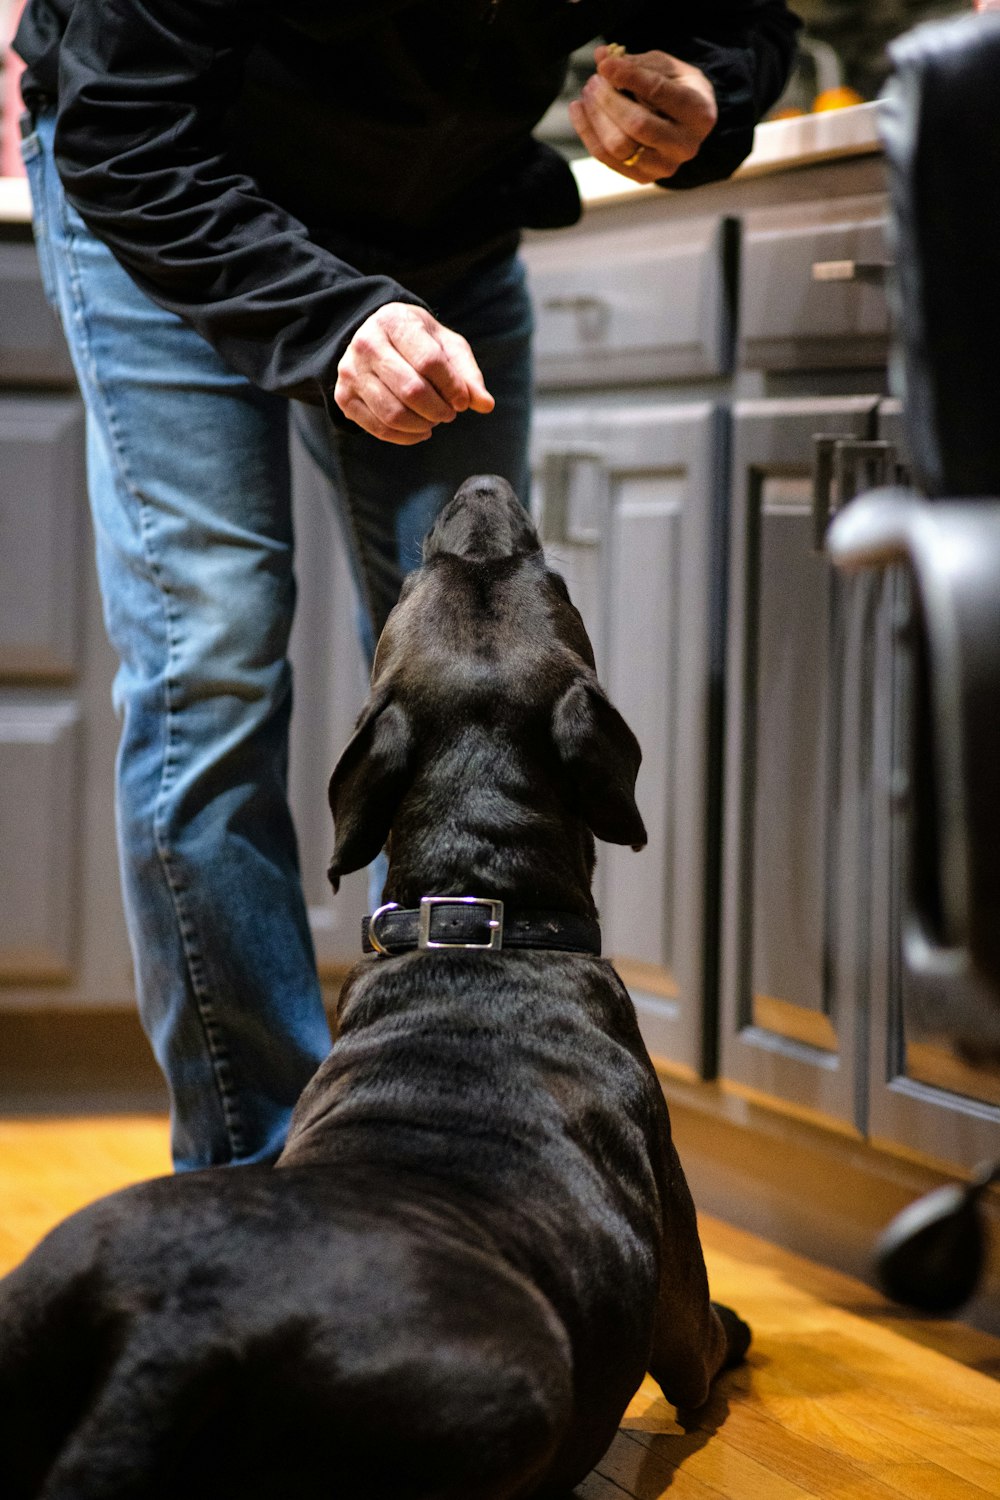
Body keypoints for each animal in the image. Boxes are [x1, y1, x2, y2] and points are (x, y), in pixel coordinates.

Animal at [0, 474, 746, 1494]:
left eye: (415, 589)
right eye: (557, 580)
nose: (479, 484)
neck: (479, 907)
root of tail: (182, 1335)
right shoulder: (680, 1297)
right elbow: (708, 1348)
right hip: (514, 1391)